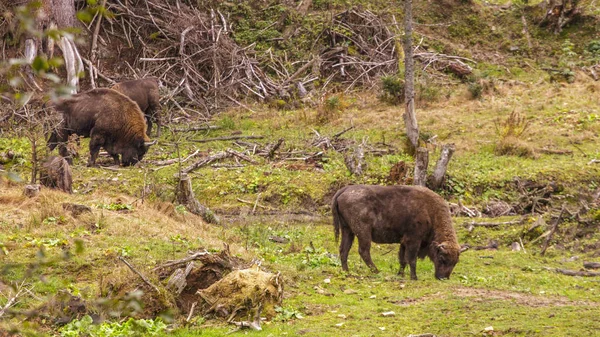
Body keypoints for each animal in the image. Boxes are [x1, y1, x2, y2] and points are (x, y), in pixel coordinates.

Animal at [330, 184, 462, 278]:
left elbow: (402, 259)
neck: (431, 211)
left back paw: (346, 272)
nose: (443, 278)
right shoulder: (413, 240)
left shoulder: (404, 242)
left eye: (455, 262)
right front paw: (414, 277)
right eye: (442, 258)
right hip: (363, 232)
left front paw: (400, 274)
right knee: (363, 251)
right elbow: (411, 259)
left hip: (347, 230)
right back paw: (377, 271)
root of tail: (345, 190)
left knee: (344, 249)